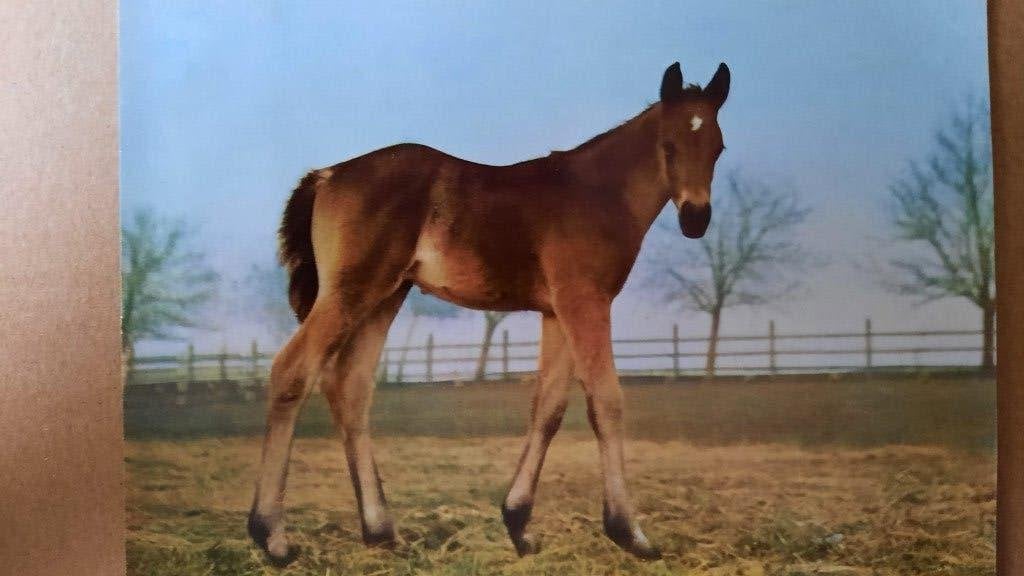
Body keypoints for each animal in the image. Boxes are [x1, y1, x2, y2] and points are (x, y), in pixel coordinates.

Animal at [248, 61, 730, 563]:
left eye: (718, 147)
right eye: (668, 145)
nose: (696, 218)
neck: (598, 193)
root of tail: (327, 175)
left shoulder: (557, 312)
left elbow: (549, 407)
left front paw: (518, 525)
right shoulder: (586, 303)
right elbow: (606, 401)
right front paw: (630, 533)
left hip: (385, 297)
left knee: (351, 388)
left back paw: (380, 530)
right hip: (350, 292)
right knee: (291, 372)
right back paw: (273, 536)